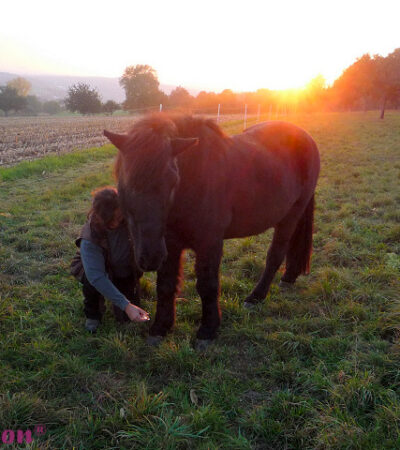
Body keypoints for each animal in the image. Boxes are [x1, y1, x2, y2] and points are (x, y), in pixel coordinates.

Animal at [104, 114, 320, 346]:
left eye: (172, 180)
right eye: (125, 183)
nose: (150, 257)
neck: (192, 183)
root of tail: (305, 137)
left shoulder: (209, 243)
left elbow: (207, 285)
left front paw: (207, 330)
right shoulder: (170, 244)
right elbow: (166, 285)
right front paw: (160, 327)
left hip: (290, 215)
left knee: (275, 255)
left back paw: (256, 297)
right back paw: (289, 277)